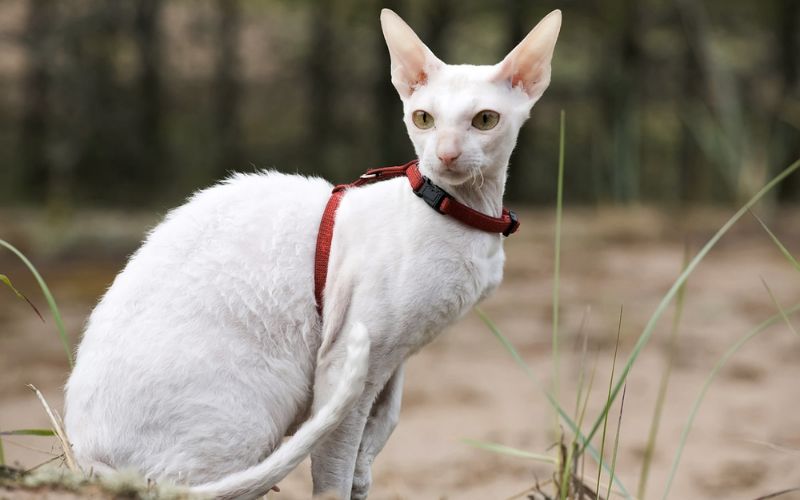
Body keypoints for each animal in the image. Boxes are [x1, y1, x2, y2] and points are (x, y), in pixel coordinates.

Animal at [64, 8, 564, 500]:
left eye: (485, 120)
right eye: (423, 119)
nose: (445, 155)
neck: (462, 212)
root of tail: (85, 456)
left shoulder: (394, 360)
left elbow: (378, 436)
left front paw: (365, 479)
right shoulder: (347, 358)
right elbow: (334, 470)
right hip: (253, 409)